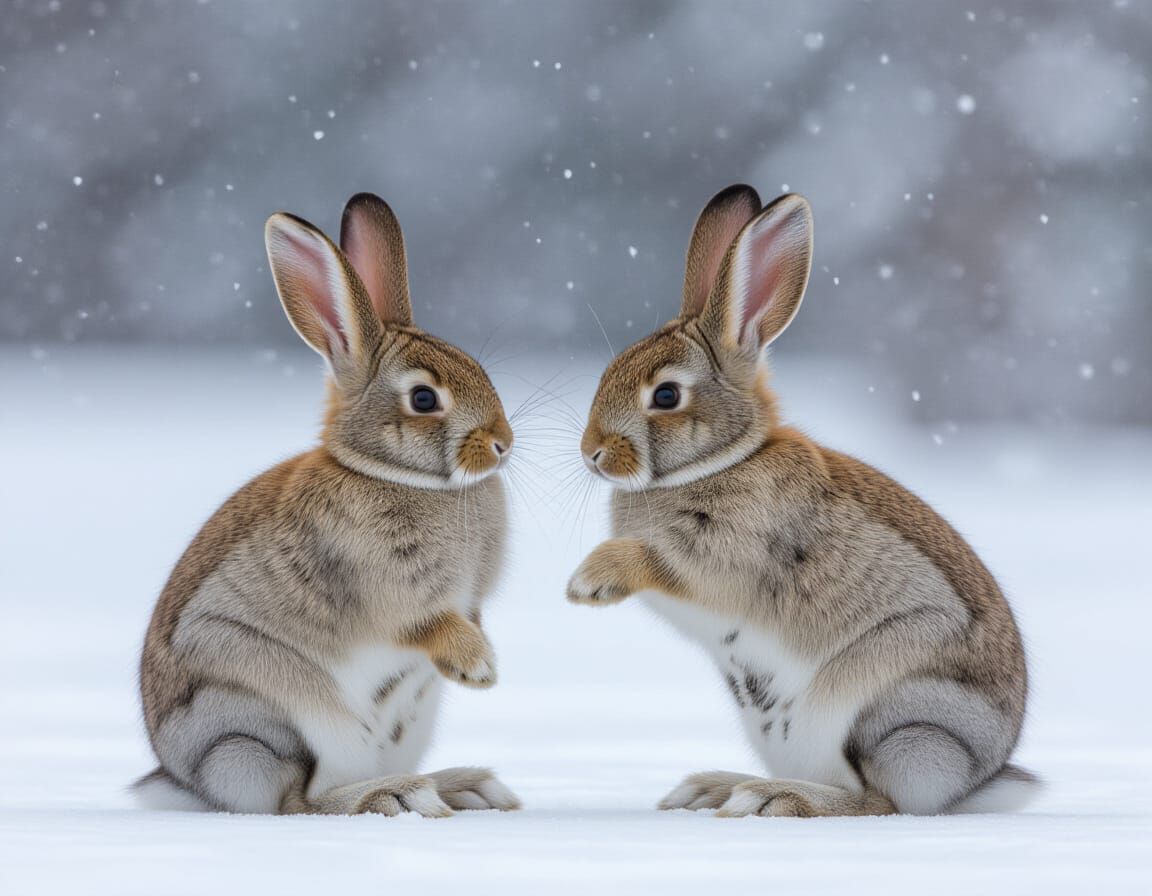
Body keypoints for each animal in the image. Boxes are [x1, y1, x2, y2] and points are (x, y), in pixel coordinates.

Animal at [133, 192, 520, 817]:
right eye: (423, 398)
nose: (502, 444)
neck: (399, 476)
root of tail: (187, 782)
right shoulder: (388, 589)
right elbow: (428, 624)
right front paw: (479, 667)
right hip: (273, 722)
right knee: (300, 800)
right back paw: (400, 795)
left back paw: (464, 787)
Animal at [566, 184, 1040, 817]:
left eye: (665, 395)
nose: (592, 452)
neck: (728, 456)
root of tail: (978, 779)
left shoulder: (732, 552)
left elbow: (666, 562)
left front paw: (587, 584)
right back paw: (713, 788)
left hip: (889, 718)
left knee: (879, 802)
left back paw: (770, 799)